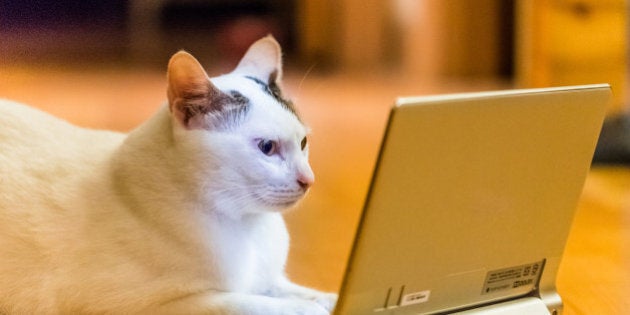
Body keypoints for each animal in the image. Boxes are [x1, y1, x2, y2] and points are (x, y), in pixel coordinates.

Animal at [0, 36, 338, 314]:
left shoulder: (269, 281)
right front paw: (307, 309)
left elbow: (299, 292)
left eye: (303, 143)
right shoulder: (152, 304)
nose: (309, 180)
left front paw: (331, 298)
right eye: (267, 147)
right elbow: (249, 304)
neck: (248, 226)